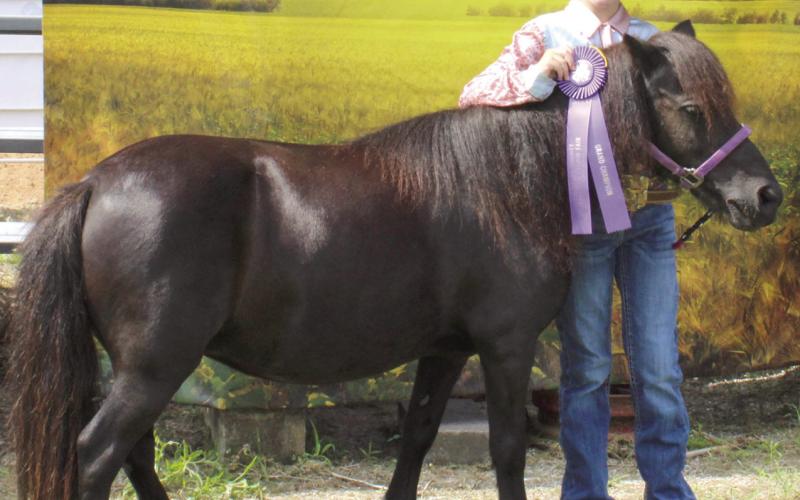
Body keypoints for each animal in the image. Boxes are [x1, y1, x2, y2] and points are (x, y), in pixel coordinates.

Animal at [6, 21, 782, 500]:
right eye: (690, 107)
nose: (766, 195)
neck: (512, 181)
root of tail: (95, 182)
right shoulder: (504, 347)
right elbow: (507, 449)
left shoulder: (445, 350)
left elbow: (416, 439)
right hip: (155, 365)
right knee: (99, 455)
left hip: (138, 367)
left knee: (131, 454)